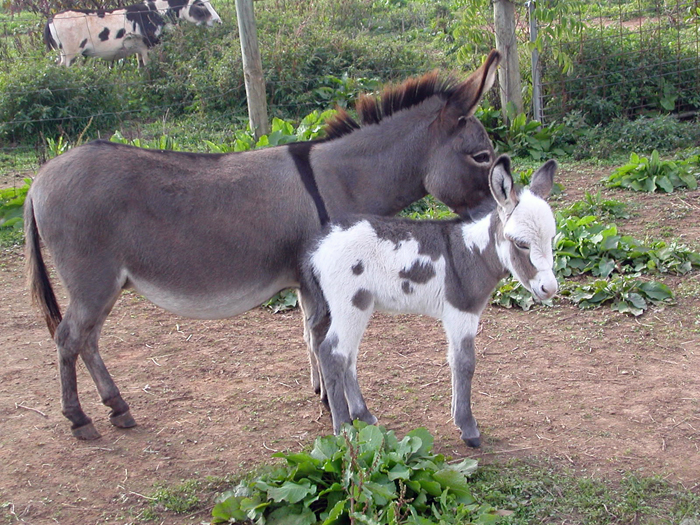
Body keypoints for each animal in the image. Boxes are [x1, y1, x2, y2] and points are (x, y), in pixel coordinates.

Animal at [25, 51, 501, 440]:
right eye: (481, 157)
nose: (500, 213)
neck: (340, 179)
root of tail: (38, 179)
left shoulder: (310, 284)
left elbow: (311, 337)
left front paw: (325, 396)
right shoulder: (327, 282)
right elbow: (331, 344)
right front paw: (348, 413)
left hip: (103, 286)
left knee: (87, 339)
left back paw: (117, 408)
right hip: (93, 280)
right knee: (69, 337)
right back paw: (80, 419)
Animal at [44, 0, 221, 66]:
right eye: (200, 4)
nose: (218, 22)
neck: (156, 12)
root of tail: (52, 18)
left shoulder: (139, 49)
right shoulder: (150, 48)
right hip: (70, 54)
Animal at [301, 155, 558, 447]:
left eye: (552, 238)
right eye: (521, 244)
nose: (549, 288)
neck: (474, 252)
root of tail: (319, 245)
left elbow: (455, 361)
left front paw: (460, 419)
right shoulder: (461, 312)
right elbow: (465, 363)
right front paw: (468, 428)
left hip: (357, 307)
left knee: (347, 355)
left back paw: (363, 415)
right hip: (350, 305)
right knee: (332, 354)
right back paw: (344, 431)